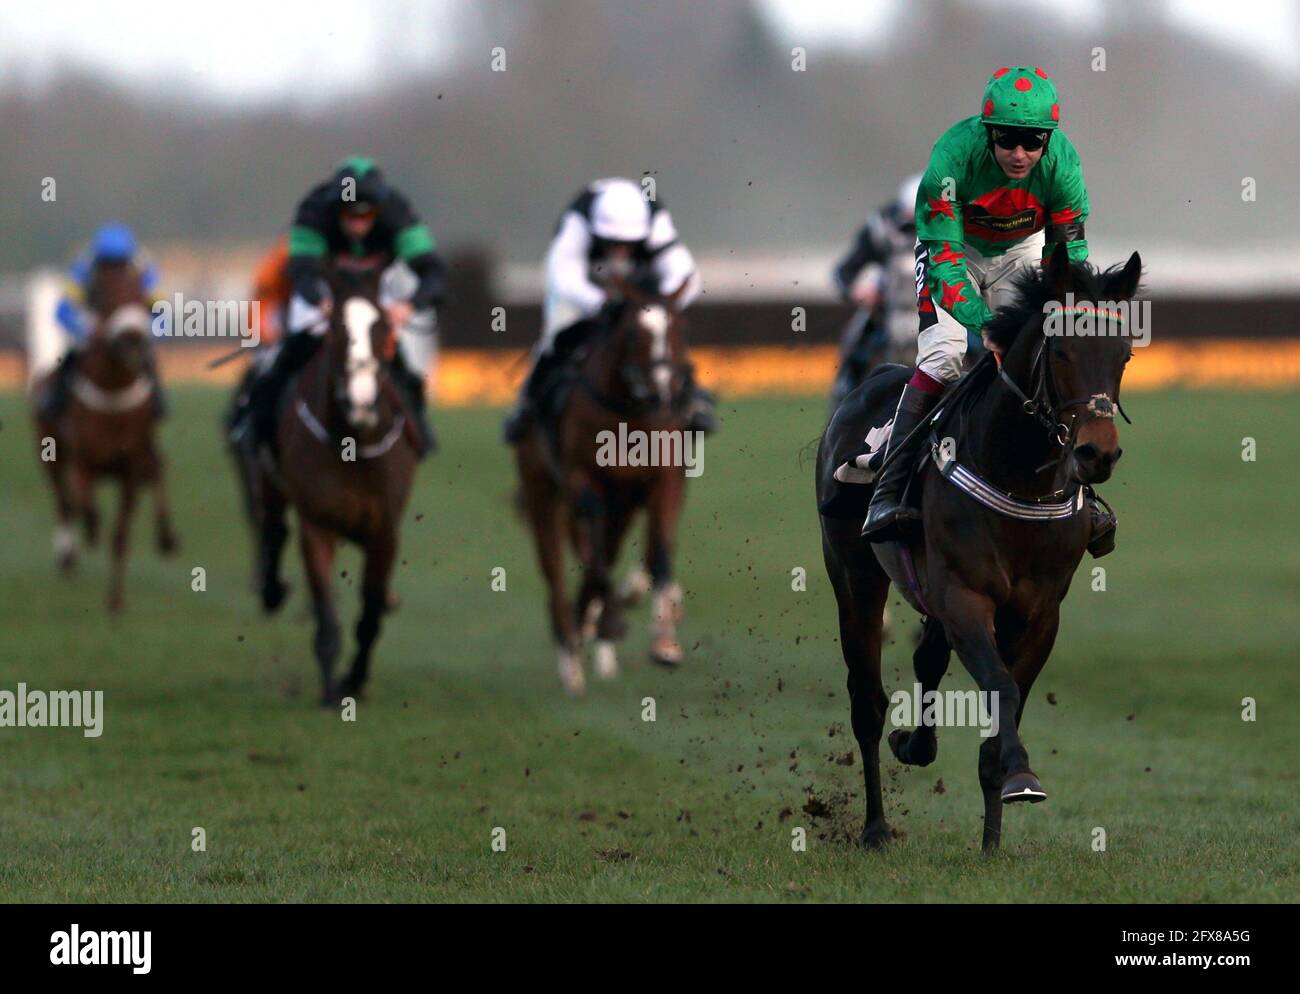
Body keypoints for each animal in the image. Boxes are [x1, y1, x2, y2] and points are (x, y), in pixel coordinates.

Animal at [33, 259, 178, 608]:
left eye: (142, 297)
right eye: (103, 296)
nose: (133, 340)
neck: (113, 392)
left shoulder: (132, 466)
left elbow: (120, 535)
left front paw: (116, 601)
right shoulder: (83, 460)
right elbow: (84, 504)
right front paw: (89, 530)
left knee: (159, 469)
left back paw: (166, 537)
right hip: (49, 455)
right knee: (64, 502)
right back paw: (68, 553)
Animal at [228, 259, 418, 701]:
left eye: (383, 325)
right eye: (334, 328)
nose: (361, 399)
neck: (354, 443)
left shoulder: (385, 531)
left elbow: (370, 614)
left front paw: (355, 680)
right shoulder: (317, 524)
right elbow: (328, 617)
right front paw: (333, 692)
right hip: (269, 479)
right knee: (273, 529)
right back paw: (272, 589)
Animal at [514, 283, 702, 696]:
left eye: (679, 328)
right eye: (632, 333)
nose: (662, 394)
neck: (628, 411)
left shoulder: (662, 478)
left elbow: (659, 550)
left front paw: (665, 639)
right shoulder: (582, 480)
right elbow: (595, 556)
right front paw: (609, 623)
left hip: (622, 504)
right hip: (541, 489)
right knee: (556, 567)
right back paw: (571, 655)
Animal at [816, 244, 1144, 847]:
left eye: (1124, 355)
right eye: (1061, 350)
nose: (1097, 454)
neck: (1018, 480)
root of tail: (874, 380)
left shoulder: (1039, 611)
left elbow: (1004, 701)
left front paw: (995, 833)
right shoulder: (965, 597)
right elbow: (999, 687)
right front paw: (1020, 776)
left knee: (926, 656)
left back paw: (916, 746)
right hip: (853, 573)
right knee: (866, 702)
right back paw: (875, 826)